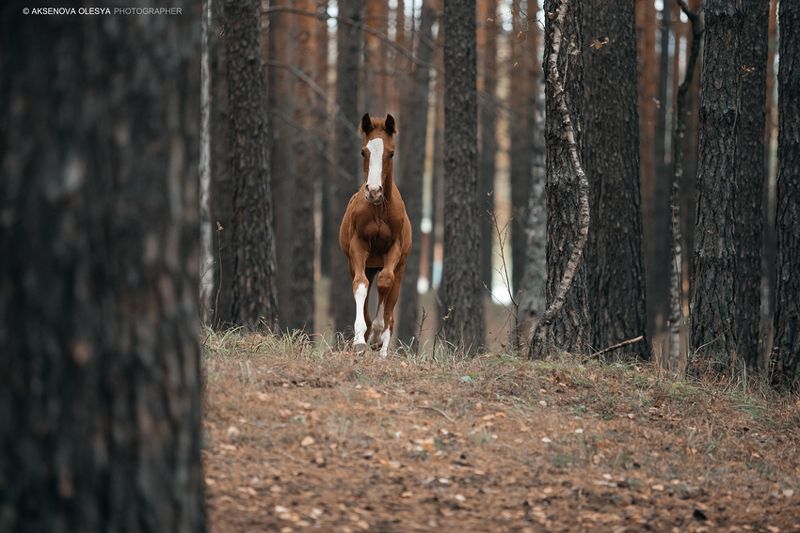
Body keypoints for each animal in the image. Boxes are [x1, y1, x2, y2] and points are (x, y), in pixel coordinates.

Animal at [339, 113, 412, 357]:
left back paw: (382, 347)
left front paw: (377, 335)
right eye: (364, 151)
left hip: (400, 267)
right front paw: (361, 339)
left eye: (391, 153)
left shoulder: (394, 248)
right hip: (367, 264)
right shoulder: (358, 246)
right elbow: (360, 285)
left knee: (391, 301)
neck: (379, 210)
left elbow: (385, 282)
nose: (373, 191)